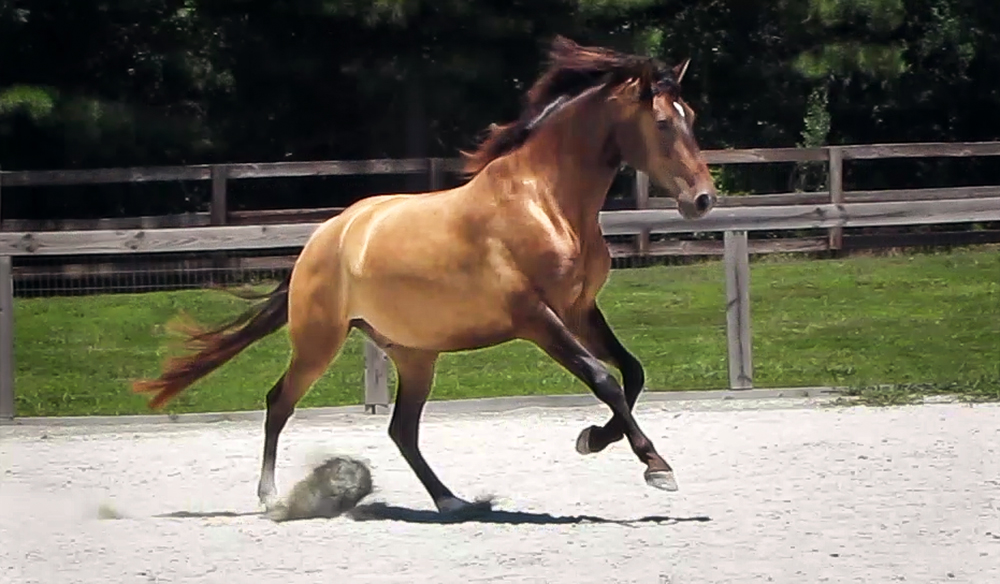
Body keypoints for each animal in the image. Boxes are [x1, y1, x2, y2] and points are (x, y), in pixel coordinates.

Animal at [135, 35, 720, 516]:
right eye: (663, 123)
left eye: (691, 116)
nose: (702, 199)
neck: (546, 203)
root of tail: (325, 237)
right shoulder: (536, 318)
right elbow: (604, 380)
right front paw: (654, 466)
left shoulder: (579, 310)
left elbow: (633, 373)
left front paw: (597, 440)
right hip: (319, 341)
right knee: (280, 402)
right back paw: (272, 497)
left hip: (415, 355)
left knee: (402, 430)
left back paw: (451, 501)